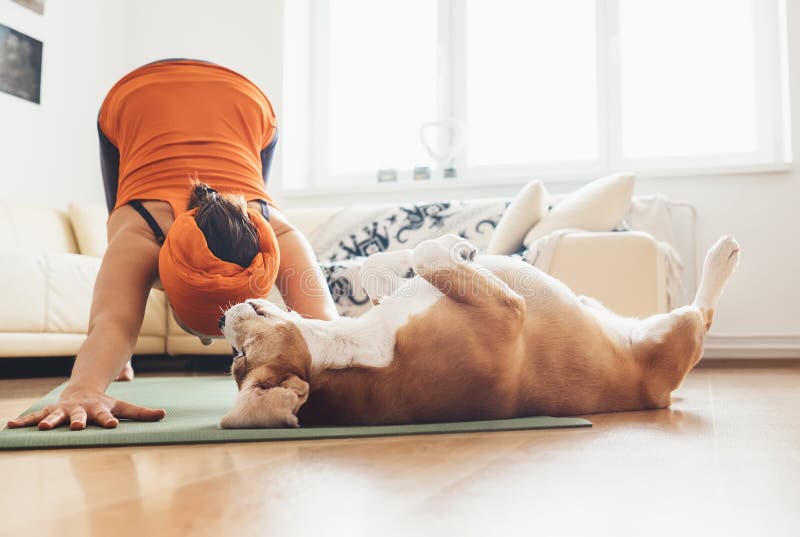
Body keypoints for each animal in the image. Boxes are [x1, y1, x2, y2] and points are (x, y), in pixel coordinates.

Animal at [217, 232, 736, 426]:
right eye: (239, 359)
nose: (221, 319)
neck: (356, 350)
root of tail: (661, 398)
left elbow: (378, 265)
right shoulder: (508, 312)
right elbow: (427, 252)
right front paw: (454, 244)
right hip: (679, 330)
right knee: (703, 314)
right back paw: (721, 258)